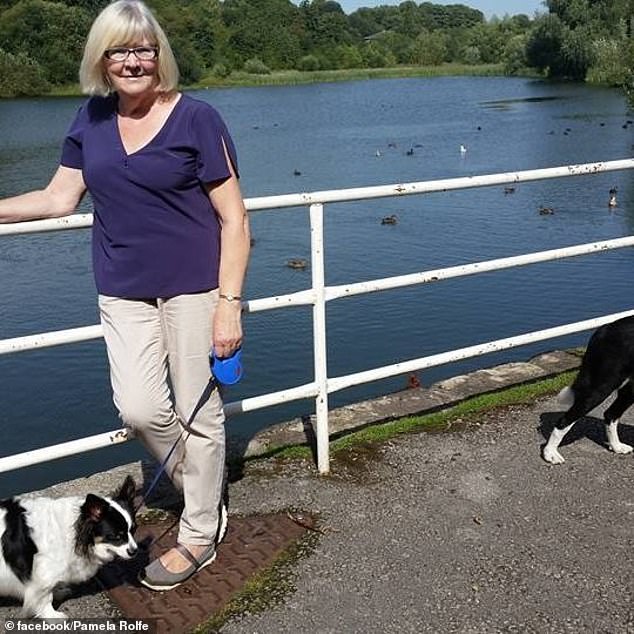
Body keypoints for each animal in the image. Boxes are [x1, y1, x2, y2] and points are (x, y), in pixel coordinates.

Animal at [0, 476, 138, 616]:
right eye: (117, 536)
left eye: (133, 530)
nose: (135, 551)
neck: (73, 532)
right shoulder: (41, 578)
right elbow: (45, 598)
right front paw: (53, 615)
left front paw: (59, 592)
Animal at [540, 316, 632, 464]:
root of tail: (606, 327)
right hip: (601, 387)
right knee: (564, 420)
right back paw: (551, 453)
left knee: (611, 414)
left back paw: (616, 446)